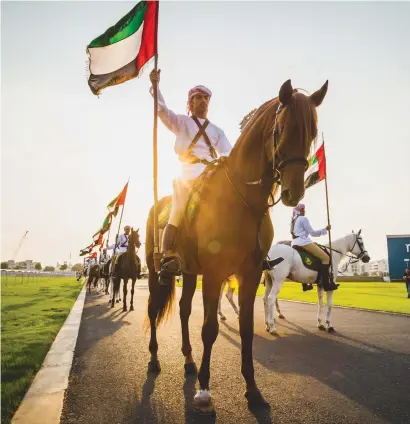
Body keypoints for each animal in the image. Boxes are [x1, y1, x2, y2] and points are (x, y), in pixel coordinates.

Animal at [146, 78, 328, 410]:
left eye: (311, 133)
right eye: (282, 128)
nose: (294, 192)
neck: (244, 201)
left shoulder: (250, 274)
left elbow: (246, 329)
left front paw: (253, 390)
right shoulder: (215, 273)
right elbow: (209, 329)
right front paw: (204, 389)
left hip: (188, 272)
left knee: (183, 310)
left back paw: (188, 362)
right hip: (155, 272)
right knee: (154, 310)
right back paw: (154, 360)